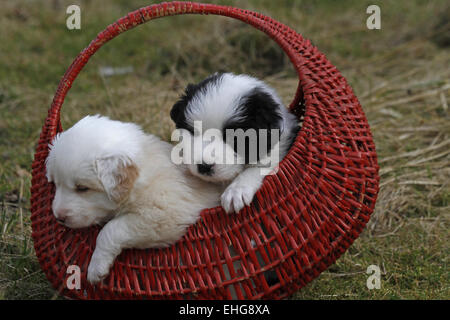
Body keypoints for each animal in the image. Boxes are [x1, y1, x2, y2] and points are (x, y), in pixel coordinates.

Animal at [45, 115, 221, 284]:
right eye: (56, 183)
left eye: (82, 188)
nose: (59, 217)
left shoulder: (162, 214)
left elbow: (110, 229)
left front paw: (96, 267)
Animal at [170, 72, 298, 212]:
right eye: (192, 131)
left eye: (236, 137)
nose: (204, 167)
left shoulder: (280, 147)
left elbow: (259, 166)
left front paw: (236, 191)